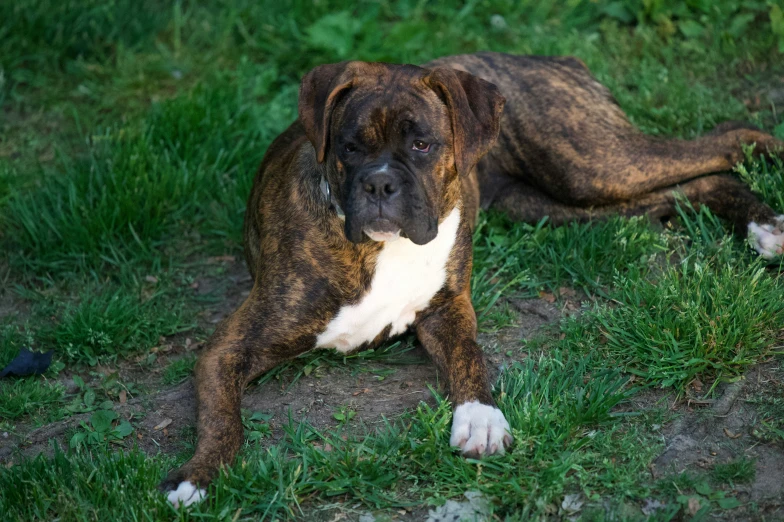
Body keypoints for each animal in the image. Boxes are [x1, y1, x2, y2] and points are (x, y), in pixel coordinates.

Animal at [161, 52, 784, 504]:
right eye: (349, 147)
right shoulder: (229, 349)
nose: (380, 184)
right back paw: (761, 226)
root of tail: (545, 57)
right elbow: (223, 418)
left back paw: (769, 214)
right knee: (692, 187)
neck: (382, 249)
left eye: (422, 144)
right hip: (564, 206)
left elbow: (469, 356)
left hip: (594, 163)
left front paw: (480, 418)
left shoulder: (448, 309)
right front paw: (198, 476)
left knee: (728, 139)